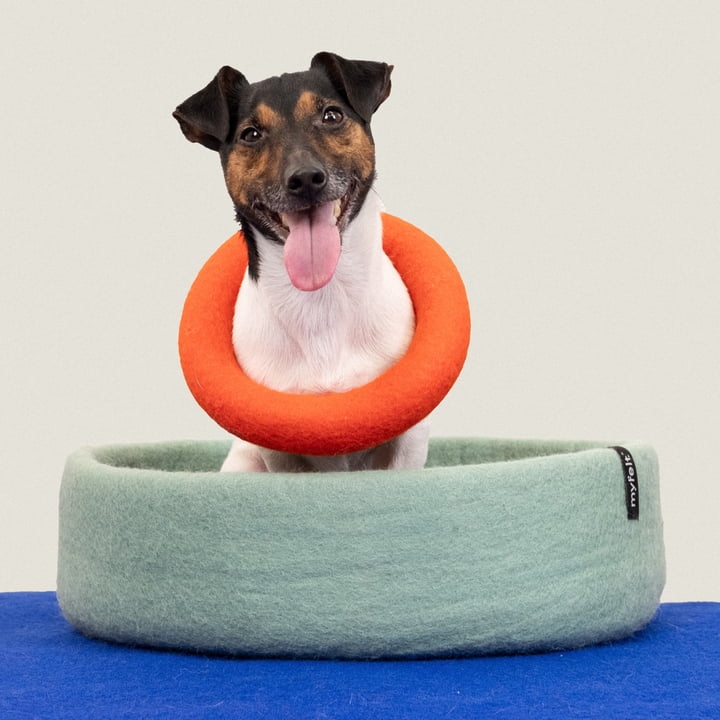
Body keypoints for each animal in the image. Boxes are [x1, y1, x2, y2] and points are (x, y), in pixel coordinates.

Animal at [174, 53, 428, 476]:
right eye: (251, 135)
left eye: (331, 116)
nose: (306, 179)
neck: (321, 300)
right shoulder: (279, 448)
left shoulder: (409, 436)